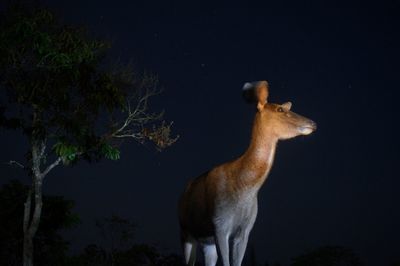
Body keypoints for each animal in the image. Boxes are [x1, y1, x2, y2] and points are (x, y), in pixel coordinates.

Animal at [178, 81, 316, 266]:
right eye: (280, 109)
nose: (313, 123)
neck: (244, 189)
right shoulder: (219, 224)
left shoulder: (245, 230)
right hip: (185, 232)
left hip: (206, 242)